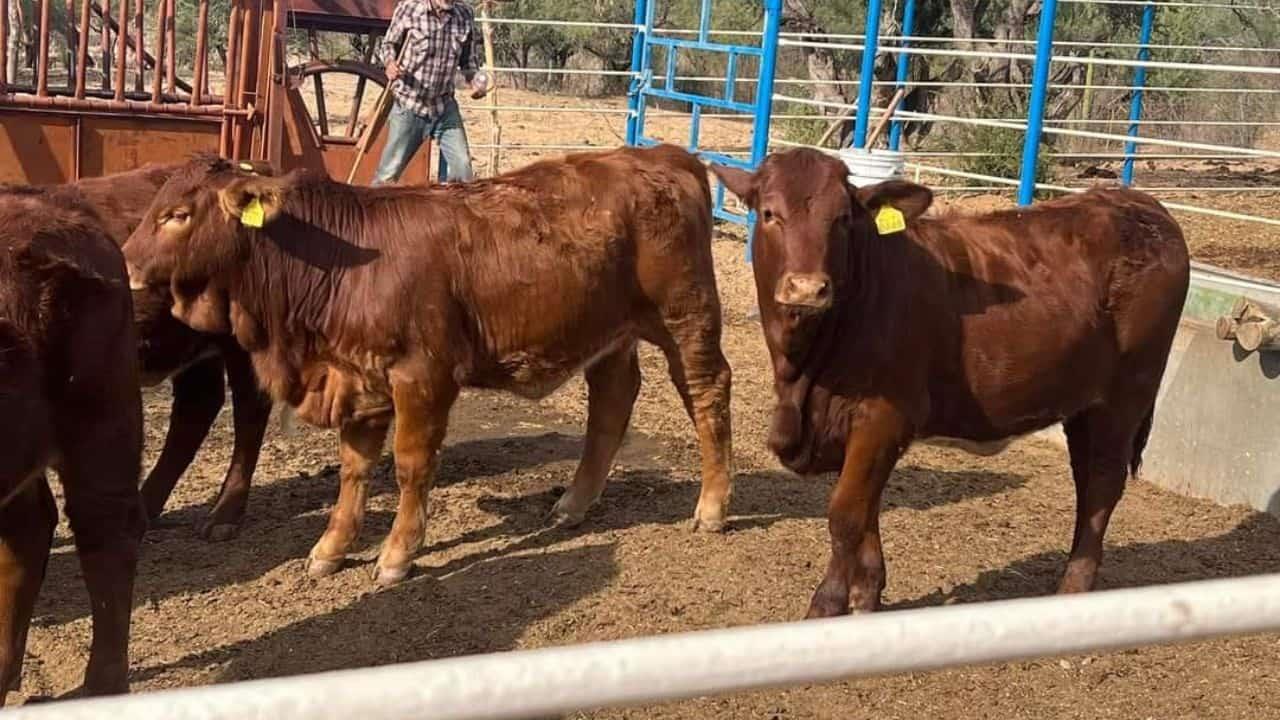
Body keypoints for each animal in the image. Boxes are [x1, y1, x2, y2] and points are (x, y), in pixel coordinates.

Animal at [127, 144, 742, 584]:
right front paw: (331, 548)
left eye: (177, 215)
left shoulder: (422, 377)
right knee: (612, 401)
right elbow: (354, 468)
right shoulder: (358, 379)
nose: (126, 262)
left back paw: (713, 505)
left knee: (707, 389)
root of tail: (665, 156)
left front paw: (397, 554)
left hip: (686, 316)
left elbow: (410, 465)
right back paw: (572, 504)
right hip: (609, 333)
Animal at [711, 147, 1187, 617]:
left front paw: (826, 606)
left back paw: (1073, 590)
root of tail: (1139, 204)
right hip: (1083, 404)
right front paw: (867, 596)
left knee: (1102, 484)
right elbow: (868, 511)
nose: (808, 288)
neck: (803, 375)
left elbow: (846, 515)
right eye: (769, 213)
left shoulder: (883, 417)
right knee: (1087, 478)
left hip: (1125, 397)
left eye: (842, 218)